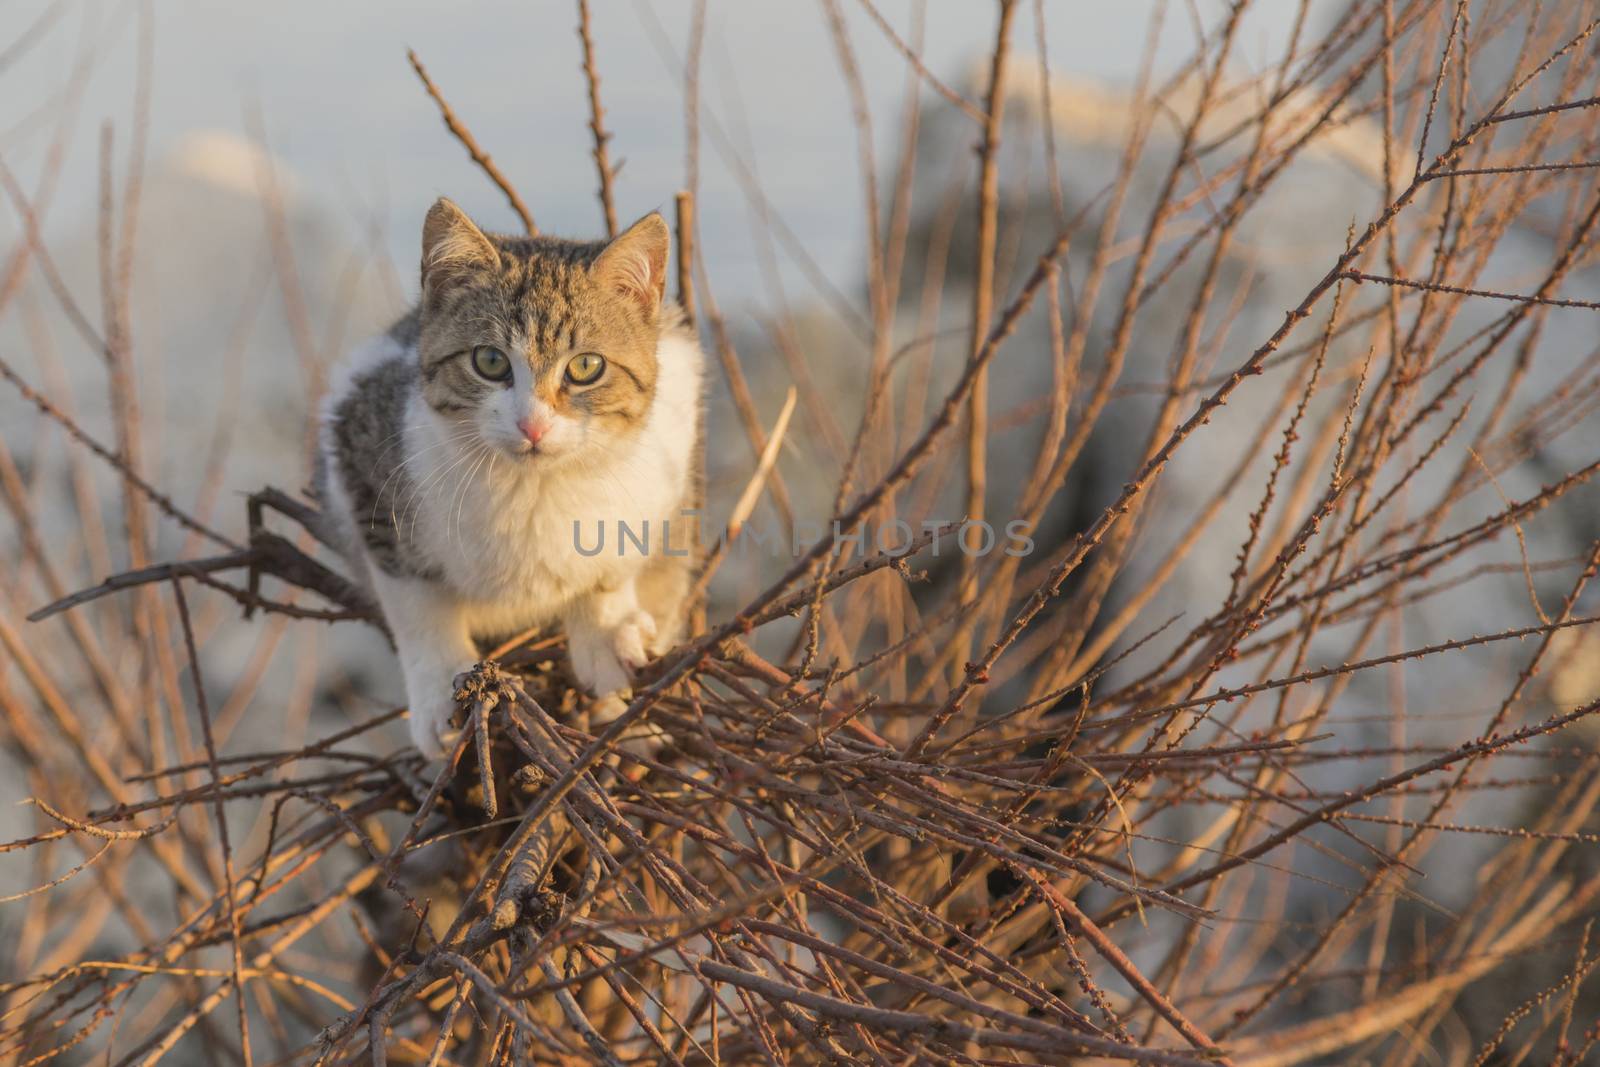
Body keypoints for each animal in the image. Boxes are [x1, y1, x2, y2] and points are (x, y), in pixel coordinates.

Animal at [315, 195, 704, 755]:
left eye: (586, 366)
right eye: (490, 360)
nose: (532, 424)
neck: (534, 489)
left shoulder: (669, 455)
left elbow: (615, 560)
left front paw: (607, 632)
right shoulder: (364, 452)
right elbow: (415, 600)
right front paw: (438, 691)